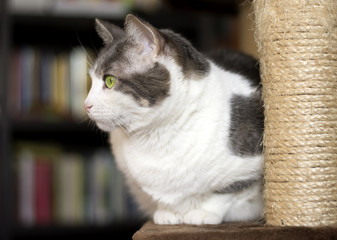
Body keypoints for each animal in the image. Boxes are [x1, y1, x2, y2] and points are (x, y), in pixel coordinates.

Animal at [84, 14, 262, 225]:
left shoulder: (248, 168)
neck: (156, 136)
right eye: (91, 81)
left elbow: (226, 192)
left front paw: (203, 213)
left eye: (110, 81)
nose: (86, 105)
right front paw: (167, 213)